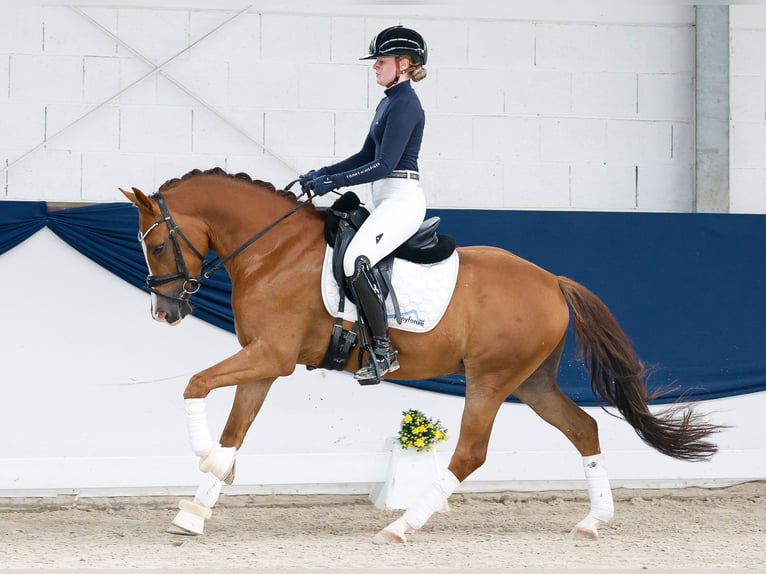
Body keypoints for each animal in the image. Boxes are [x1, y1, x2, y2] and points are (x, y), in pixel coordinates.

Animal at [121, 167, 724, 543]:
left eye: (157, 244)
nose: (165, 312)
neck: (273, 251)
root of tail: (552, 280)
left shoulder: (272, 356)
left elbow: (196, 385)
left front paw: (205, 461)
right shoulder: (263, 361)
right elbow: (234, 430)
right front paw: (196, 510)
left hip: (490, 380)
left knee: (471, 454)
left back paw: (401, 525)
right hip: (532, 382)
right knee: (584, 429)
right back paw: (593, 522)